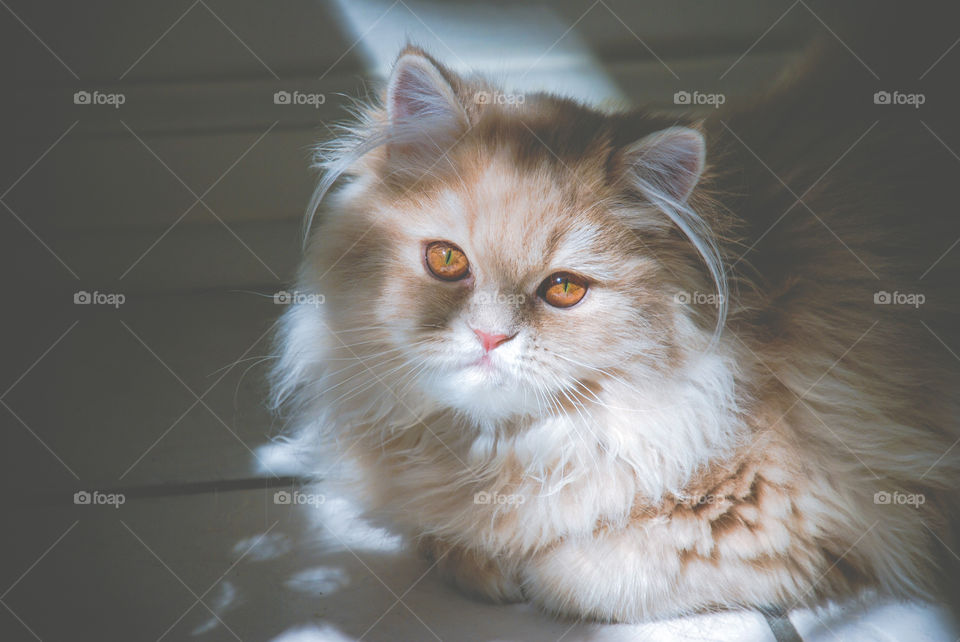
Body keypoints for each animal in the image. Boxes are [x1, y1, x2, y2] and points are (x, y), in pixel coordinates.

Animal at [272, 10, 960, 624]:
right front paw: (474, 557)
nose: (491, 335)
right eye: (446, 261)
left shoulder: (801, 517)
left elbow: (572, 573)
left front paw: (511, 569)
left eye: (563, 290)